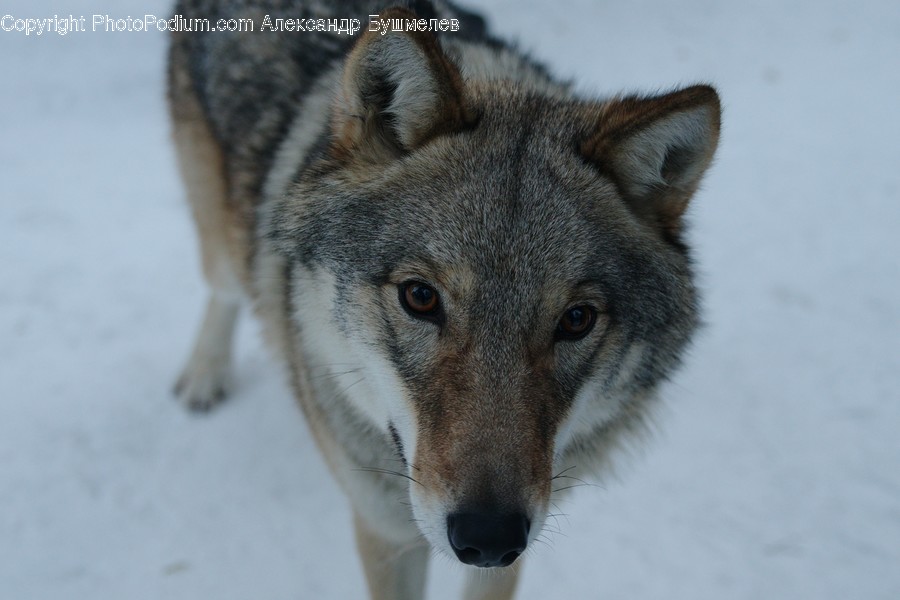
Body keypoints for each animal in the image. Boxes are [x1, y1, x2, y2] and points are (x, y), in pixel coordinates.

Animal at [167, 1, 720, 598]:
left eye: (576, 319)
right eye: (420, 297)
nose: (489, 535)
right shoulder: (384, 532)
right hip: (223, 239)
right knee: (223, 288)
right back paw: (204, 376)